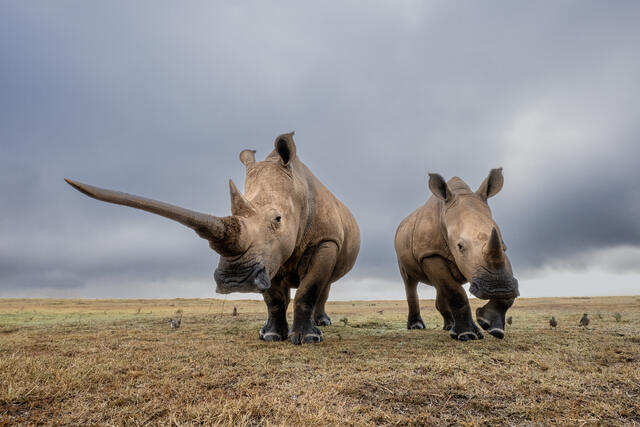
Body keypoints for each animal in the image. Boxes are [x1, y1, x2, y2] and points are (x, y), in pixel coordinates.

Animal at [65, 132, 360, 344]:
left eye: (278, 219)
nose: (235, 281)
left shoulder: (326, 240)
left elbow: (309, 289)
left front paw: (307, 340)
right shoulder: (269, 256)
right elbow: (274, 299)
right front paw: (270, 337)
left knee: (326, 284)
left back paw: (322, 325)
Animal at [394, 168, 519, 341]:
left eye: (503, 243)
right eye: (459, 246)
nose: (498, 289)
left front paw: (491, 327)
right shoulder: (430, 254)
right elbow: (455, 293)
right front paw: (467, 335)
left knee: (440, 287)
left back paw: (449, 326)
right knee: (409, 281)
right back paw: (416, 326)